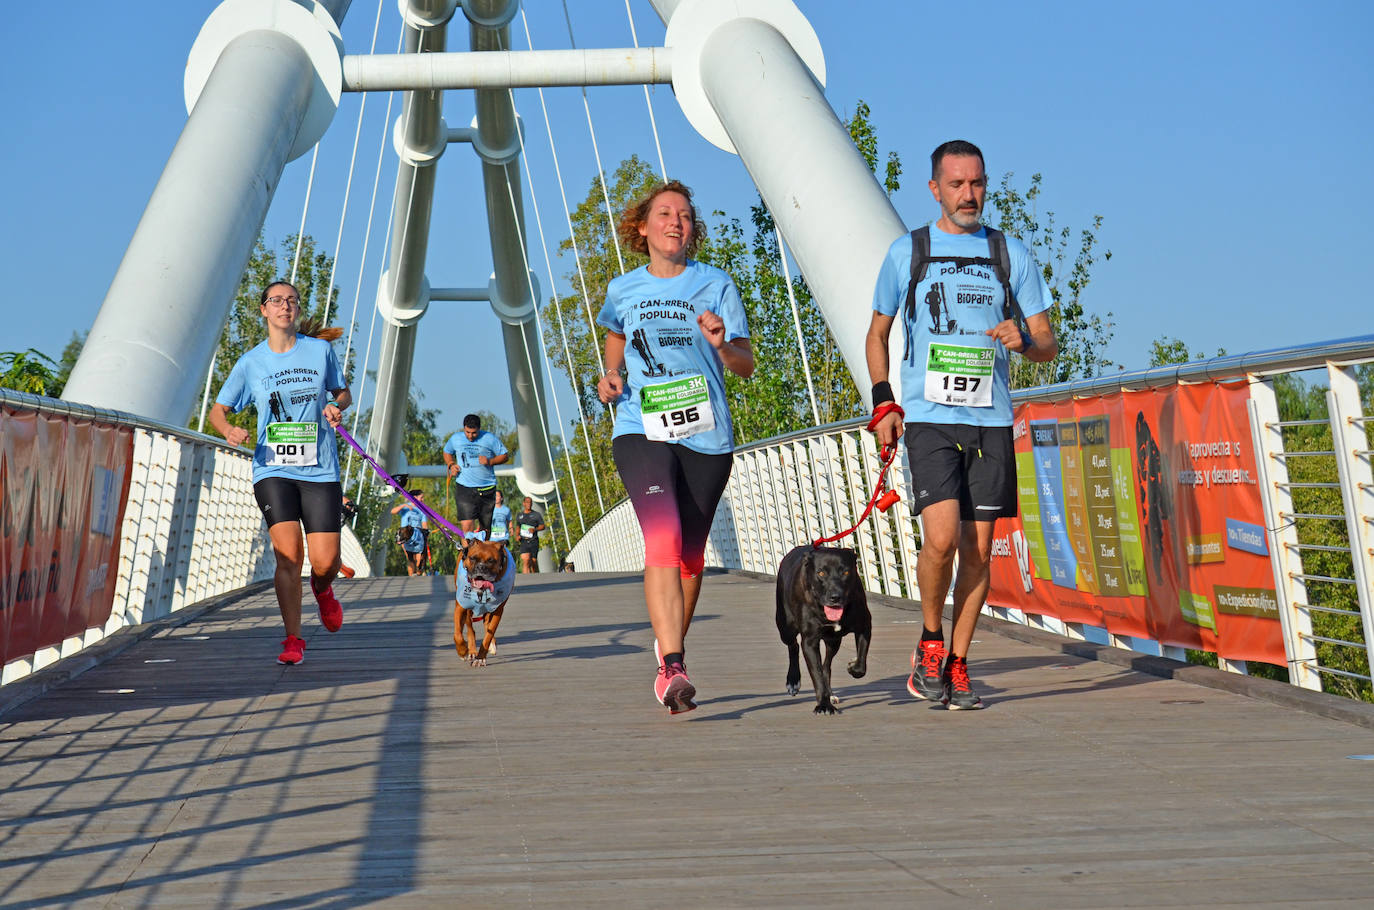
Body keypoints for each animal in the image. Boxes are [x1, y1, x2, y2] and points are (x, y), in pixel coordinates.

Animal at [456, 538, 516, 668]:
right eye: (473, 558)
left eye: (491, 560)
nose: (481, 567)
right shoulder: (460, 607)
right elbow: (457, 634)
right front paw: (462, 651)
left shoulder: (498, 611)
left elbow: (488, 635)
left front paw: (480, 658)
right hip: (468, 611)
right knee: (470, 629)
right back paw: (472, 650)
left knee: (487, 625)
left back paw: (491, 645)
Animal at [774, 544, 868, 714]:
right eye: (821, 573)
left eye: (845, 572)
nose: (835, 597)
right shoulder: (810, 641)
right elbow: (816, 675)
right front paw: (824, 705)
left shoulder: (864, 627)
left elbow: (860, 665)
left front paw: (853, 666)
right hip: (785, 628)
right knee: (794, 646)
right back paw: (793, 681)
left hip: (834, 640)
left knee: (826, 666)